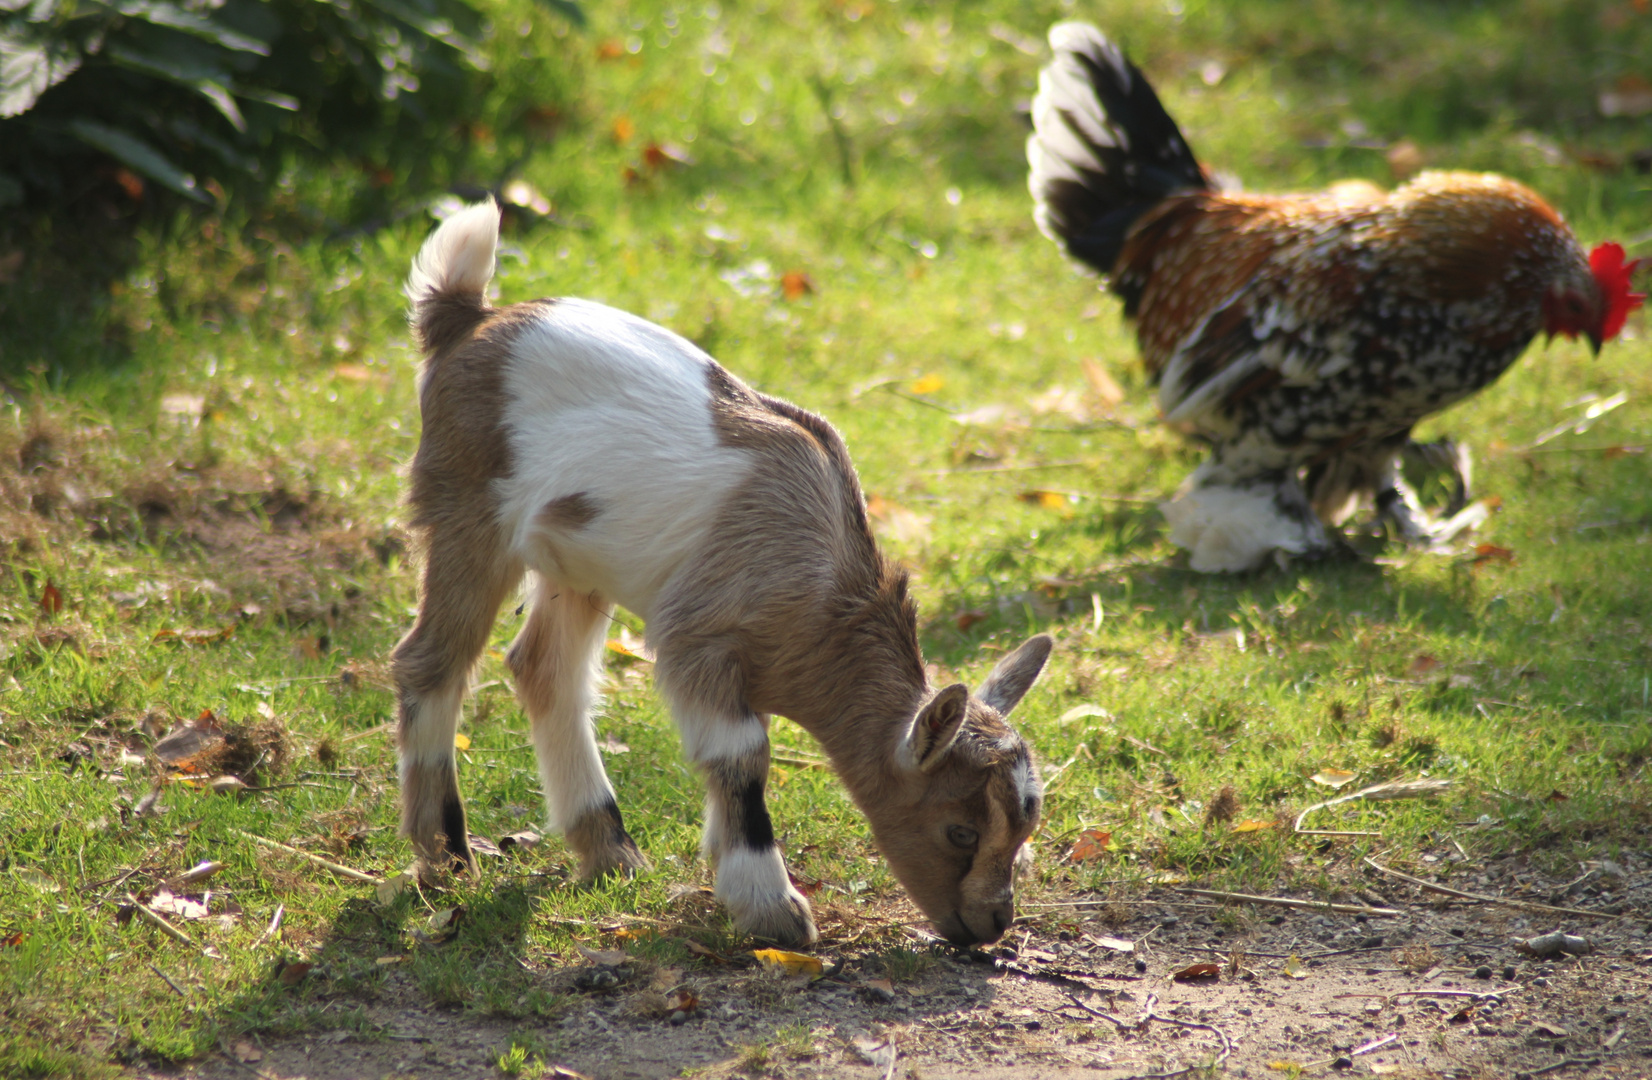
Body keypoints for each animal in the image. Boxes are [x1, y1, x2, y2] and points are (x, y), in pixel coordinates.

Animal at [393, 200, 1050, 951]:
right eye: (960, 830)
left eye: (1021, 831)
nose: (991, 925)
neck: (822, 596)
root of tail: (468, 316)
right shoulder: (700, 640)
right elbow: (741, 760)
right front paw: (771, 908)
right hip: (464, 507)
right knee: (430, 662)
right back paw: (444, 857)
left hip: (577, 563)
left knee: (543, 670)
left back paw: (609, 852)